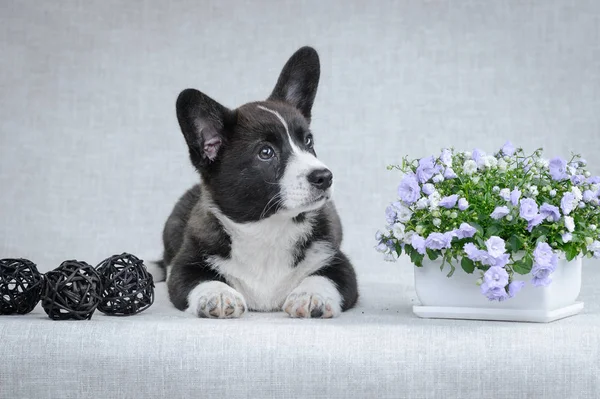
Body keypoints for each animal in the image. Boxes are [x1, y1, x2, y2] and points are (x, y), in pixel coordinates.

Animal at [154, 46, 356, 318]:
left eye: (308, 141)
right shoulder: (186, 265)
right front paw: (218, 295)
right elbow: (200, 279)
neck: (267, 228)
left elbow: (324, 278)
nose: (324, 177)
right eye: (266, 152)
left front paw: (311, 295)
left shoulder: (335, 261)